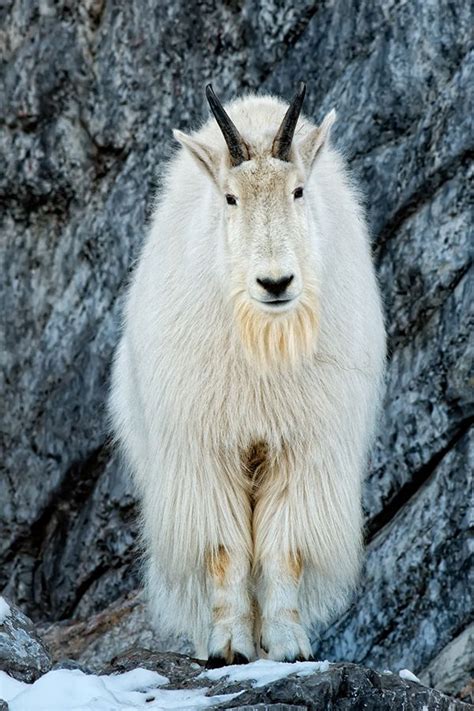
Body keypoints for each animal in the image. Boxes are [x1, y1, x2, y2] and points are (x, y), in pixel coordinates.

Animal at [110, 82, 386, 668]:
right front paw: (228, 646)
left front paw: (287, 646)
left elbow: (286, 549)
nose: (275, 282)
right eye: (230, 199)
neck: (264, 342)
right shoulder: (205, 447)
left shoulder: (302, 445)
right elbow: (223, 548)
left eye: (299, 191)